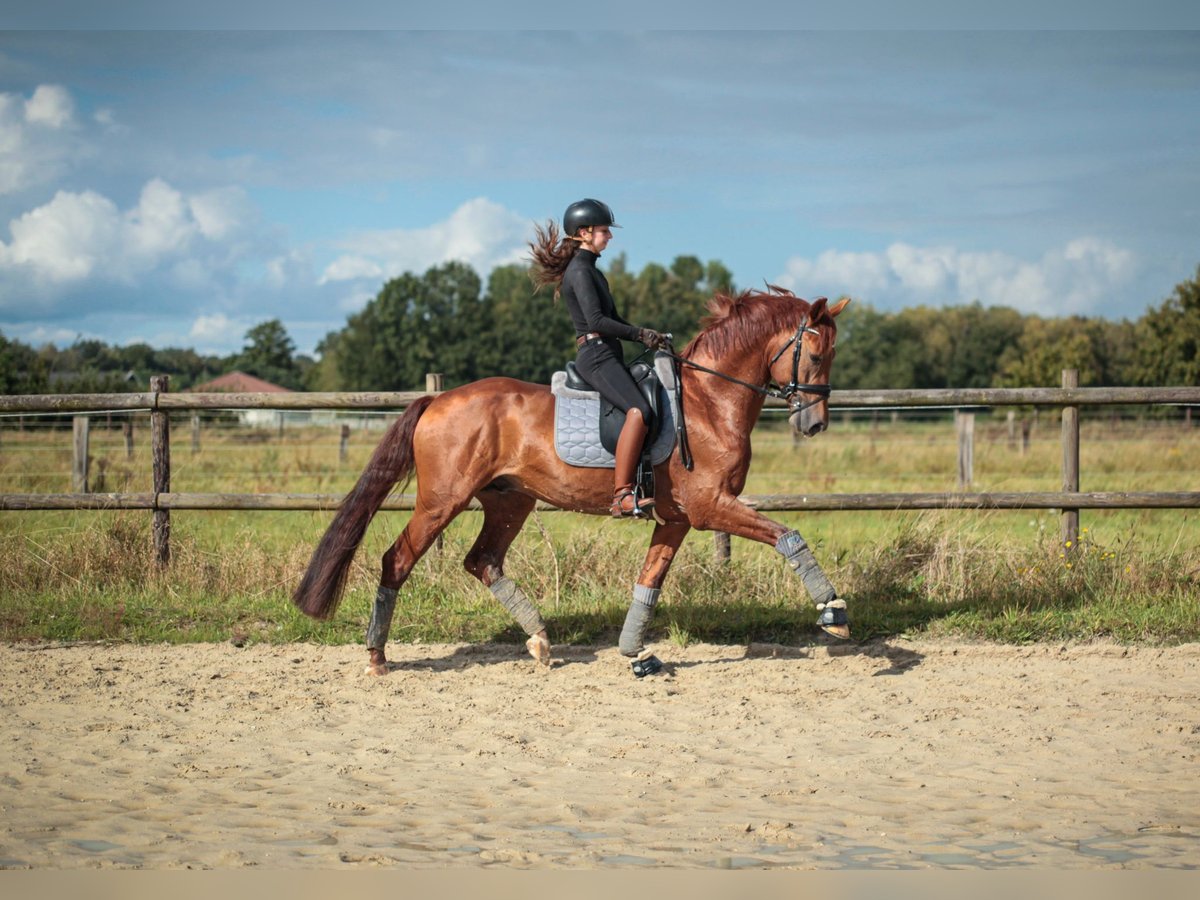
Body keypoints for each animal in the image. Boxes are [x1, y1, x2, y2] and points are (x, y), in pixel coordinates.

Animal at [294, 289, 849, 676]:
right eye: (815, 355)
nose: (814, 424)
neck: (709, 402)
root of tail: (439, 399)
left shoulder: (677, 518)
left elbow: (649, 581)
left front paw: (635, 654)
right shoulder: (712, 506)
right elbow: (787, 535)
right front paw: (833, 612)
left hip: (509, 502)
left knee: (482, 561)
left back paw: (540, 639)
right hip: (442, 500)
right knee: (398, 559)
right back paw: (377, 656)